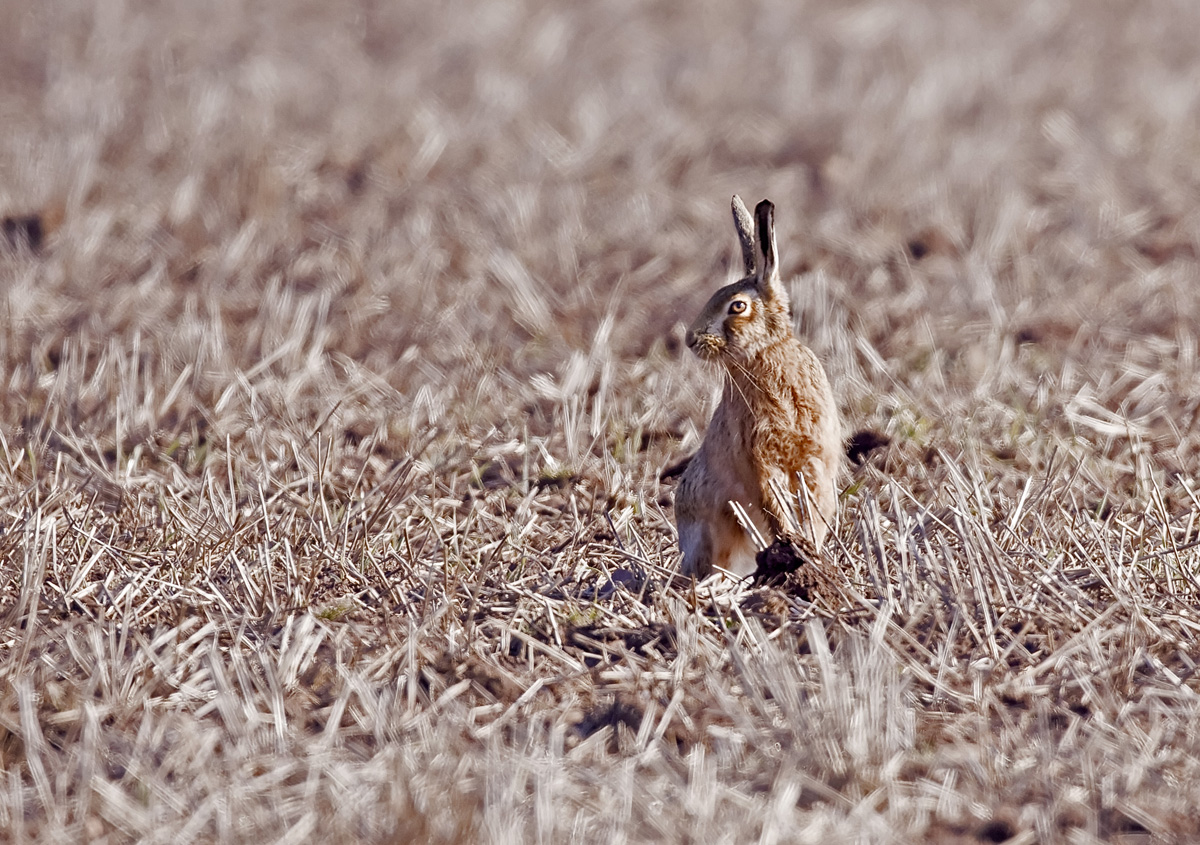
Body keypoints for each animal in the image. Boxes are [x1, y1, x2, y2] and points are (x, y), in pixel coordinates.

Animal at [674, 195, 841, 578]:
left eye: (737, 306)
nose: (691, 340)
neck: (766, 350)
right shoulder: (759, 459)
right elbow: (774, 507)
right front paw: (793, 548)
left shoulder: (813, 459)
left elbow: (812, 509)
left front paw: (807, 551)